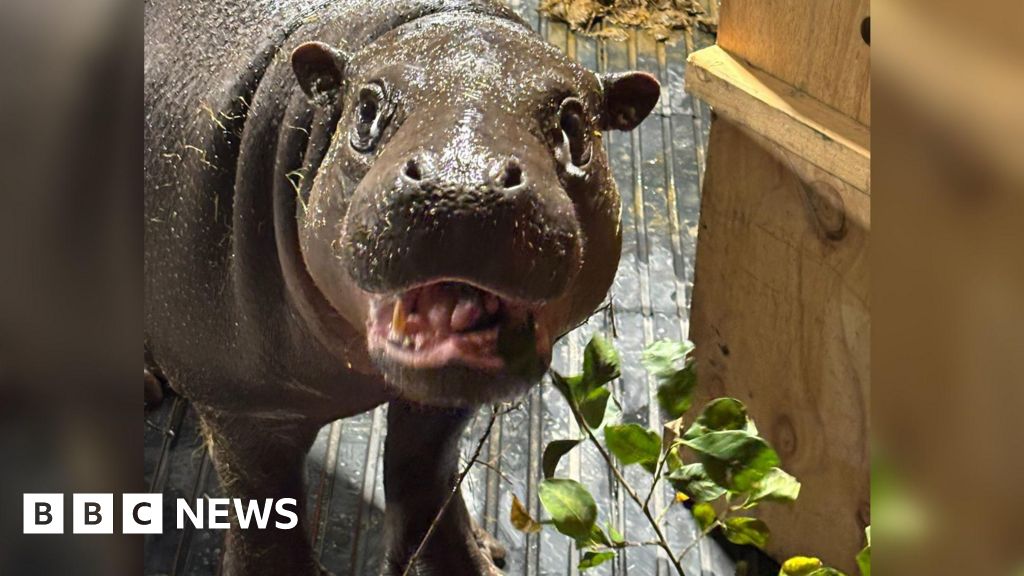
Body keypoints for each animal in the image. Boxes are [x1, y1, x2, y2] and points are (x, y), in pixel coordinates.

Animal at [144, 0, 659, 574]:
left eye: (576, 126)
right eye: (366, 110)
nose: (463, 186)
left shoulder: (441, 405)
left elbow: (421, 470)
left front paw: (475, 560)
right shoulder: (243, 404)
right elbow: (264, 507)